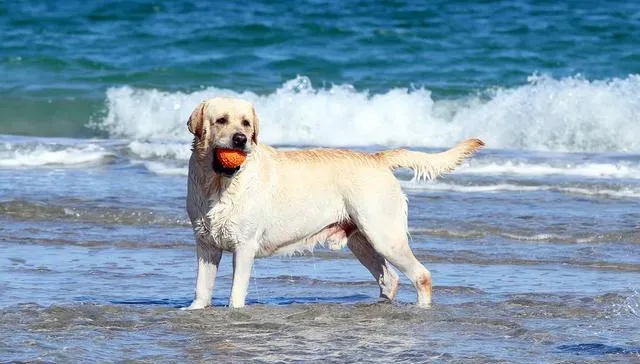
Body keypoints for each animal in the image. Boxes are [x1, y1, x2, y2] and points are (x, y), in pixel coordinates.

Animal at [182, 97, 482, 310]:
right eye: (221, 120)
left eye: (246, 123)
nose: (241, 139)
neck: (219, 184)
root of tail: (377, 158)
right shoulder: (205, 244)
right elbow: (201, 288)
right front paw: (195, 309)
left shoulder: (244, 246)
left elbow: (236, 294)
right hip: (361, 241)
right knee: (389, 278)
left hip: (384, 236)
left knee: (421, 275)